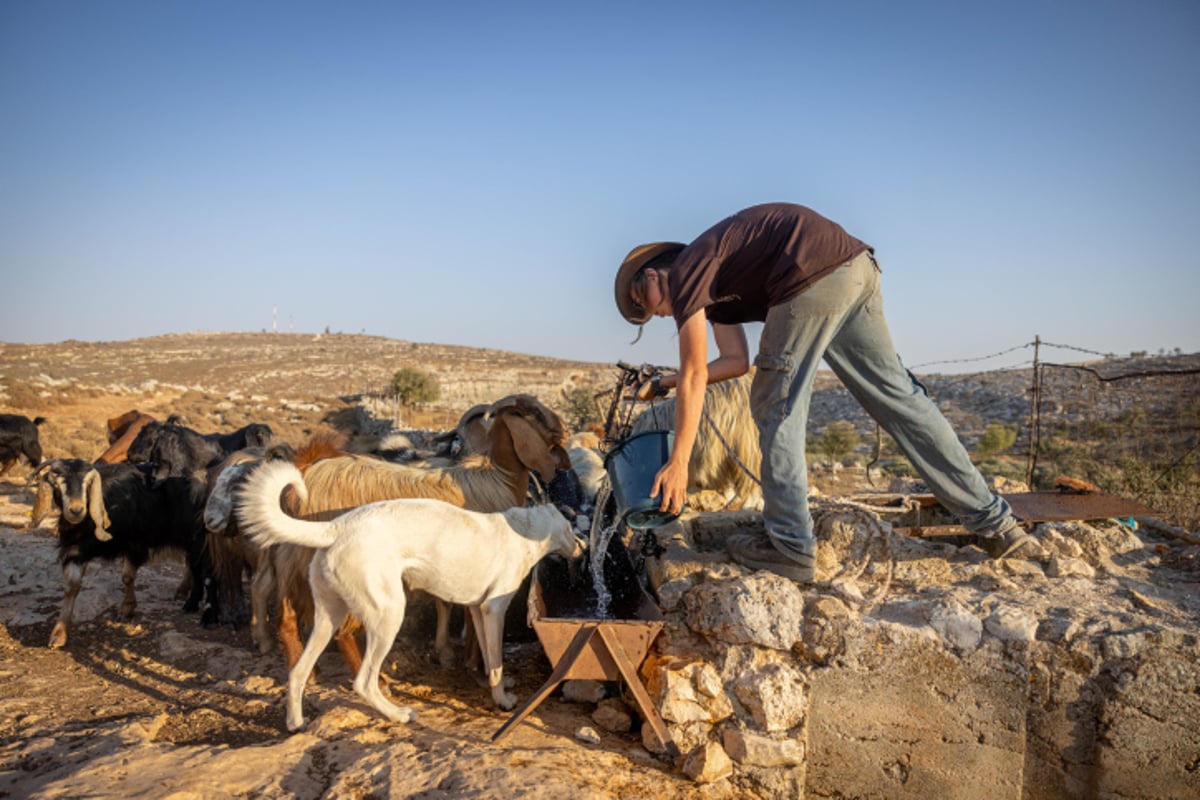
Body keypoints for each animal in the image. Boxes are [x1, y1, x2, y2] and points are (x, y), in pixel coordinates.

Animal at [32, 460, 219, 647]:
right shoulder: (76, 549)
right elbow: (72, 586)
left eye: (87, 483)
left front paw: (126, 609)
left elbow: (127, 577)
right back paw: (183, 591)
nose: (76, 510)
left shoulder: (134, 544)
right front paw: (59, 634)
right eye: (57, 484)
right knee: (192, 563)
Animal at [236, 455, 583, 734]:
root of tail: (337, 526)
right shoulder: (494, 610)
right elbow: (496, 661)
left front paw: (494, 686)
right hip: (388, 615)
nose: (582, 547)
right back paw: (398, 714)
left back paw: (295, 723)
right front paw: (502, 700)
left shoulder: (477, 610)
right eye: (570, 528)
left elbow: (488, 655)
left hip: (328, 616)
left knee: (297, 673)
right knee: (363, 682)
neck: (522, 529)